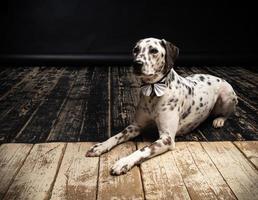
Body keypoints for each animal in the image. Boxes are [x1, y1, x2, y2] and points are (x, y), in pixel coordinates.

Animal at [86, 37, 238, 175]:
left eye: (154, 50)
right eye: (136, 50)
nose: (136, 63)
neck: (153, 90)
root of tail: (218, 77)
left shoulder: (166, 138)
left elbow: (143, 149)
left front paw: (124, 162)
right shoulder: (135, 126)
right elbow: (117, 136)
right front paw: (101, 146)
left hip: (227, 96)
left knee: (227, 113)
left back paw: (219, 120)